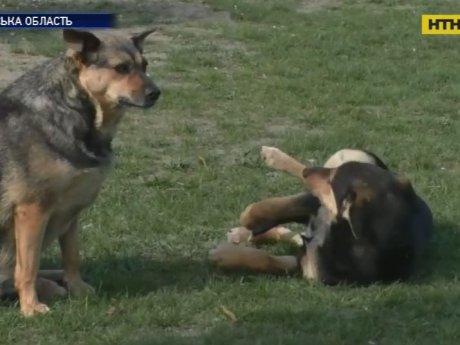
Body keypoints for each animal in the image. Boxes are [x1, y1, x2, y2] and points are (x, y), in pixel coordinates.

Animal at [0, 28, 160, 314]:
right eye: (121, 68)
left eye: (145, 65)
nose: (157, 93)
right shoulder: (32, 210)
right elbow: (27, 266)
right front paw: (30, 307)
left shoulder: (72, 210)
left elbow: (71, 256)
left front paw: (78, 289)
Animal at [210, 146, 434, 284]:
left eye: (333, 180)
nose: (310, 172)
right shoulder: (313, 204)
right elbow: (266, 210)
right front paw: (250, 221)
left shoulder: (307, 267)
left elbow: (268, 259)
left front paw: (222, 255)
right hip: (346, 154)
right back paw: (274, 157)